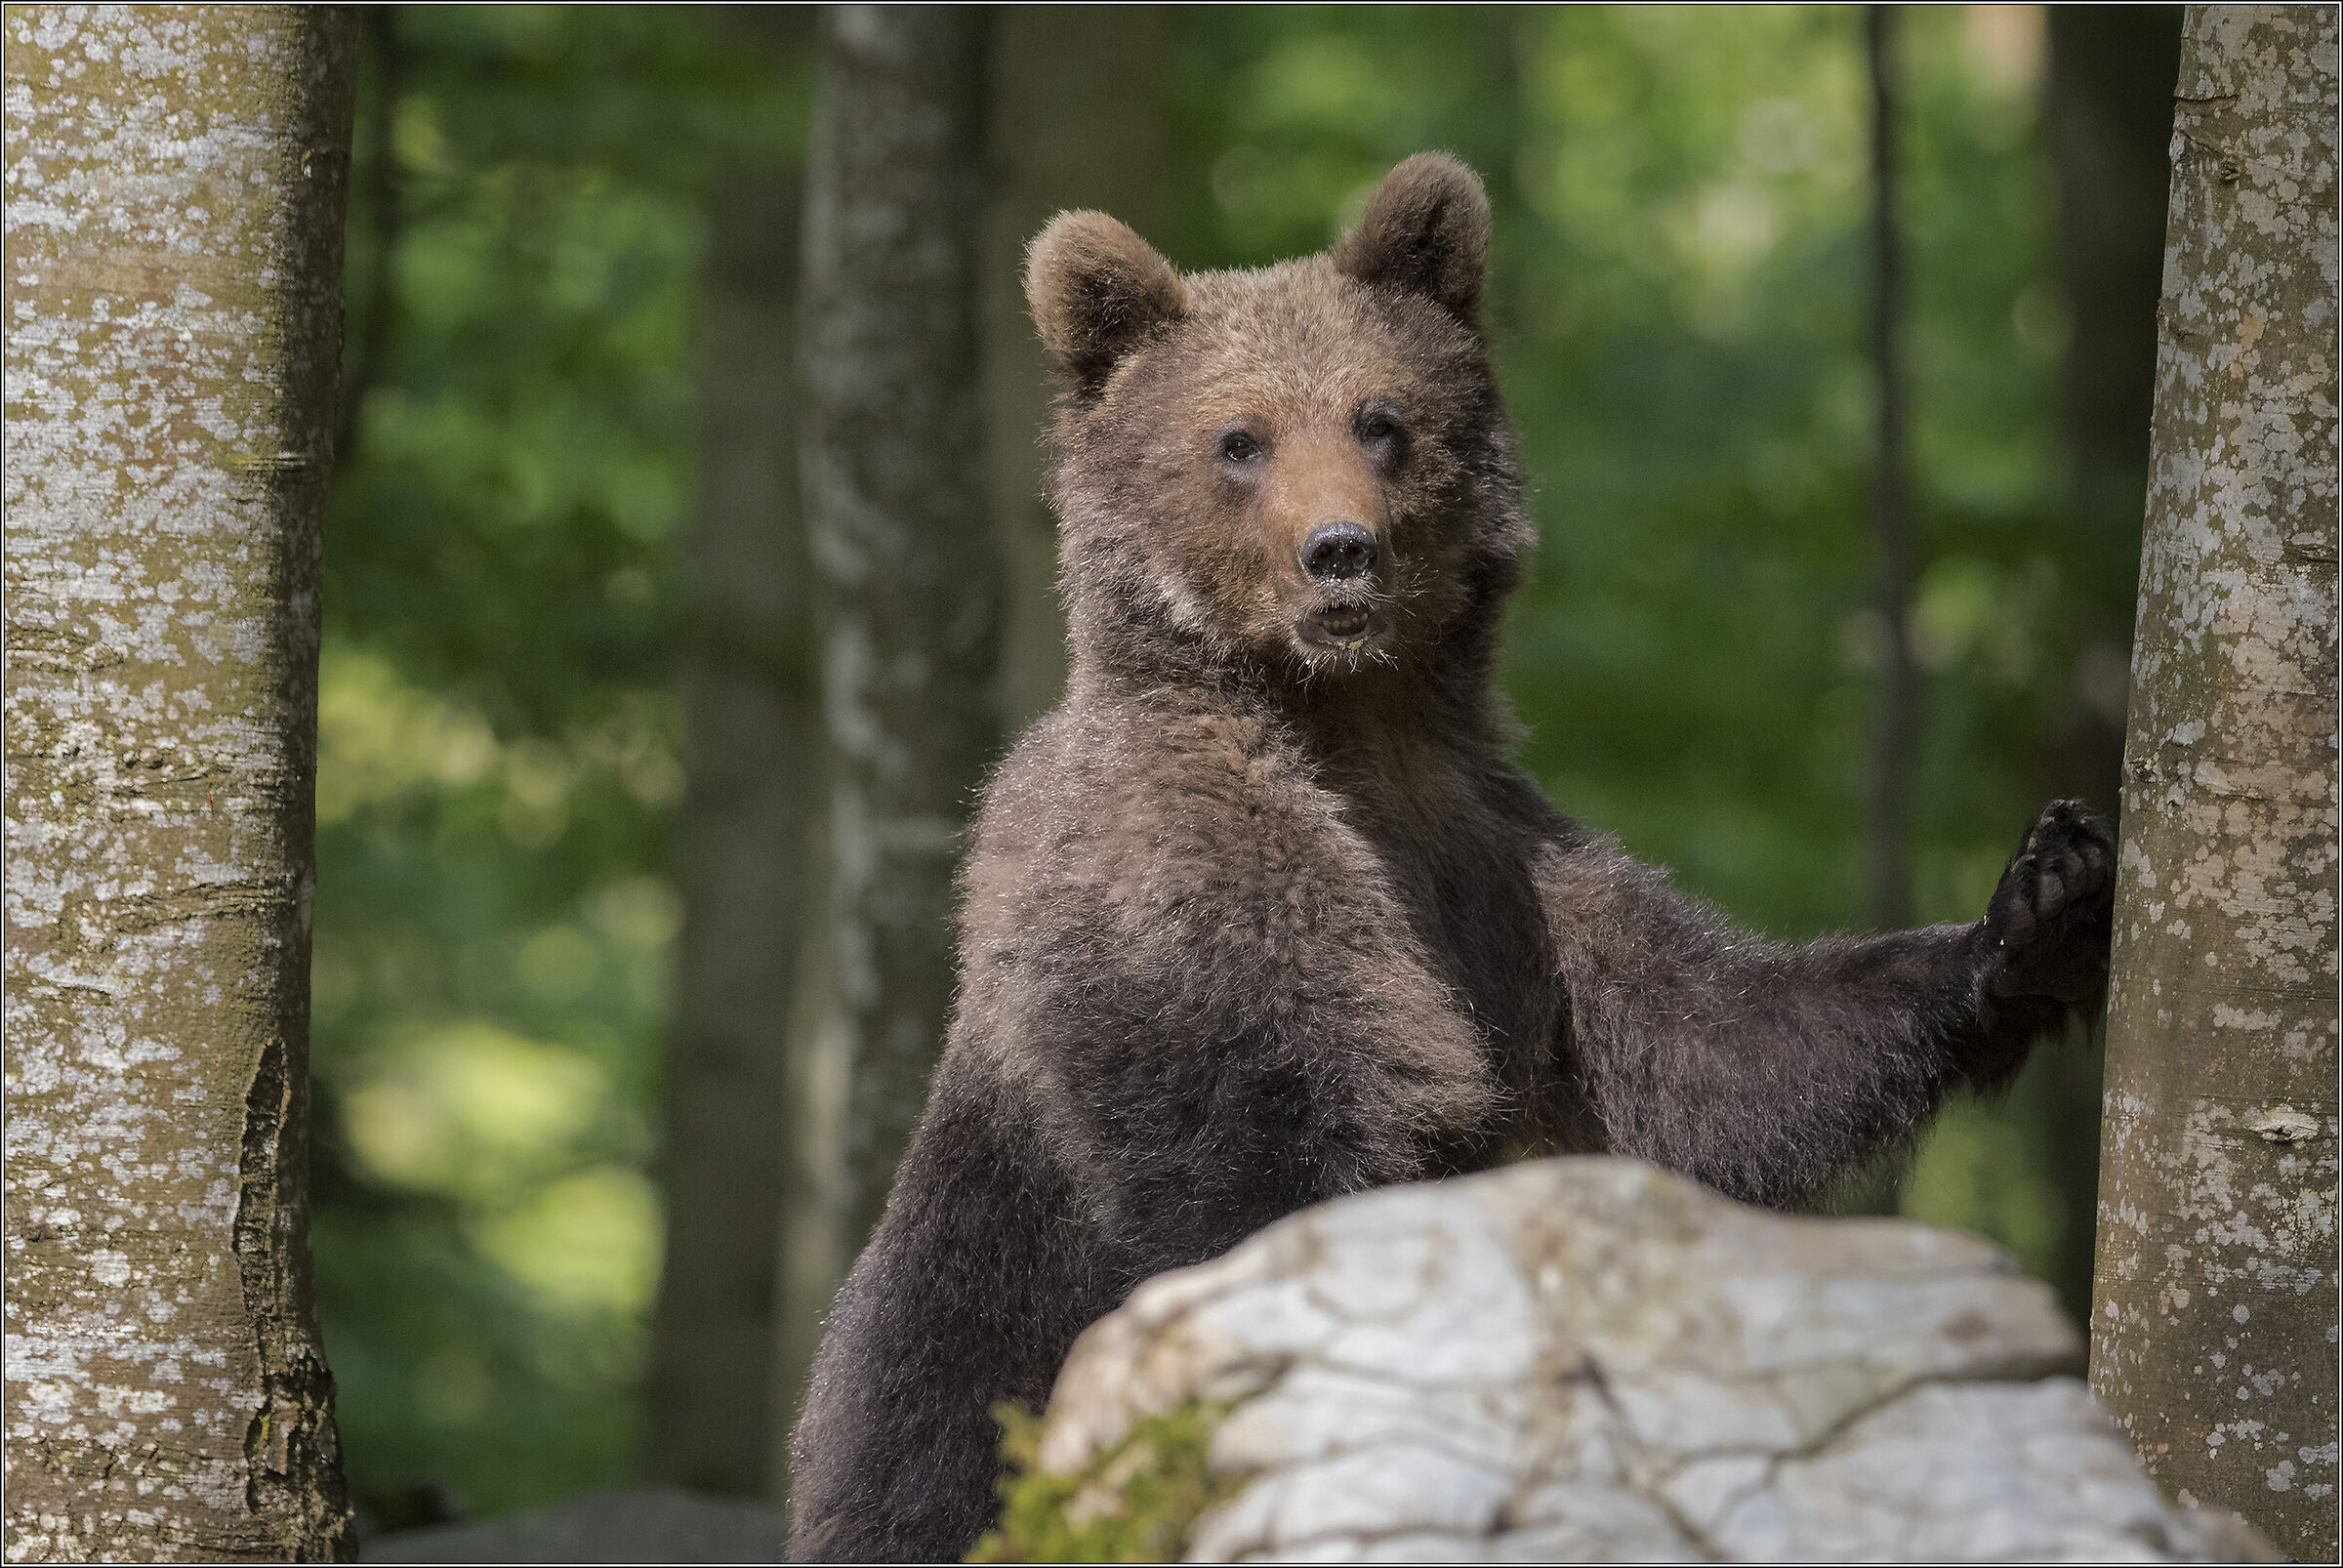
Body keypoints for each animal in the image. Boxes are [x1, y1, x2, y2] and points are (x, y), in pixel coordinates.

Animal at [784, 154, 2114, 1563]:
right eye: (1239, 437)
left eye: (1381, 418)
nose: (1339, 552)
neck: (1353, 723)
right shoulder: (1181, 905)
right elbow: (1266, 1162)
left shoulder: (1495, 867)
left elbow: (1705, 1049)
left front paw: (2044, 898)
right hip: (936, 1408)